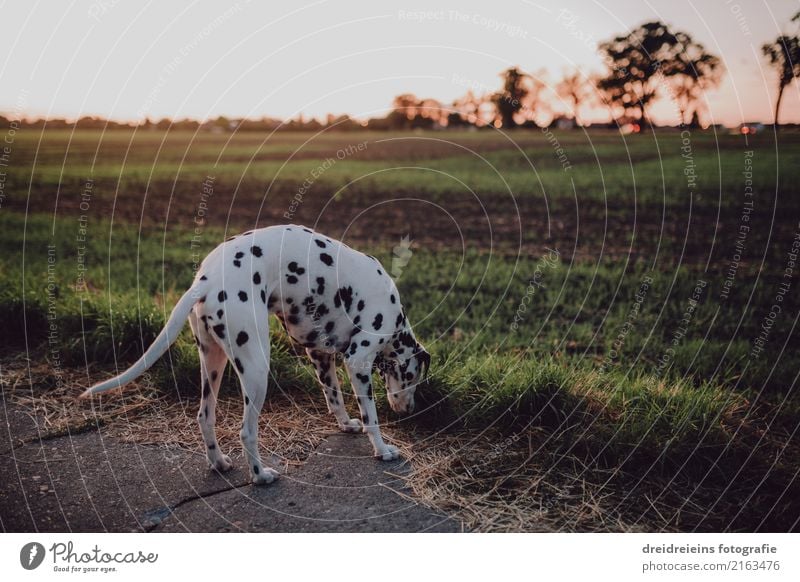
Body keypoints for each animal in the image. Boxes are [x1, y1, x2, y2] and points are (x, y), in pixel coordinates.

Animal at [81, 226, 432, 486]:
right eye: (412, 377)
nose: (411, 409)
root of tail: (204, 281)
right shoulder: (357, 361)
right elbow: (371, 416)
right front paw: (383, 450)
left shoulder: (320, 355)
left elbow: (334, 398)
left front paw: (346, 424)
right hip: (256, 369)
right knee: (247, 431)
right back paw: (260, 476)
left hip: (213, 363)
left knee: (205, 416)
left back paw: (219, 463)